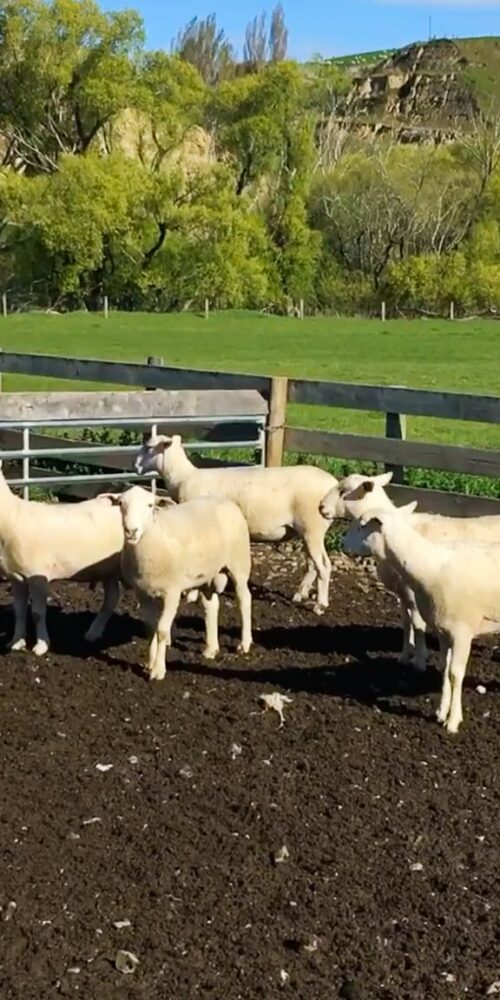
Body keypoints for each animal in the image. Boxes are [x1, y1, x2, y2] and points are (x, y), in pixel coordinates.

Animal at [0, 462, 123, 656]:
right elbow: (19, 611)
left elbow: (37, 613)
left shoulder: (38, 575)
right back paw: (93, 633)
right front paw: (16, 642)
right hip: (108, 570)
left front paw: (41, 646)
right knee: (112, 598)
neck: (11, 517)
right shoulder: (16, 577)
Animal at [105, 486, 254, 680]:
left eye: (150, 505)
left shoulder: (172, 592)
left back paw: (244, 644)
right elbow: (150, 628)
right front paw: (149, 664)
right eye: (121, 503)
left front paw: (158, 671)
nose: (131, 531)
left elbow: (161, 631)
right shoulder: (142, 593)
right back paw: (211, 649)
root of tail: (226, 501)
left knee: (244, 600)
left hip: (239, 563)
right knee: (211, 606)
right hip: (205, 574)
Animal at [133, 434, 338, 612]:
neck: (183, 477)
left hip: (313, 527)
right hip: (307, 531)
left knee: (323, 565)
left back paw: (320, 605)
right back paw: (300, 594)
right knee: (312, 565)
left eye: (149, 447)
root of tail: (333, 484)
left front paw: (191, 595)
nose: (135, 466)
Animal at [320, 472, 500, 676]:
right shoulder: (403, 594)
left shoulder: (415, 595)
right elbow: (407, 624)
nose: (321, 507)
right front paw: (405, 656)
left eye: (344, 491)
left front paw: (420, 661)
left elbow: (418, 624)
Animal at [344, 508, 500, 736]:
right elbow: (444, 669)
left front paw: (453, 721)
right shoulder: (443, 631)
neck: (431, 567)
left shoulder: (462, 632)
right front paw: (441, 712)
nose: (342, 542)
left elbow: (455, 674)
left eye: (362, 525)